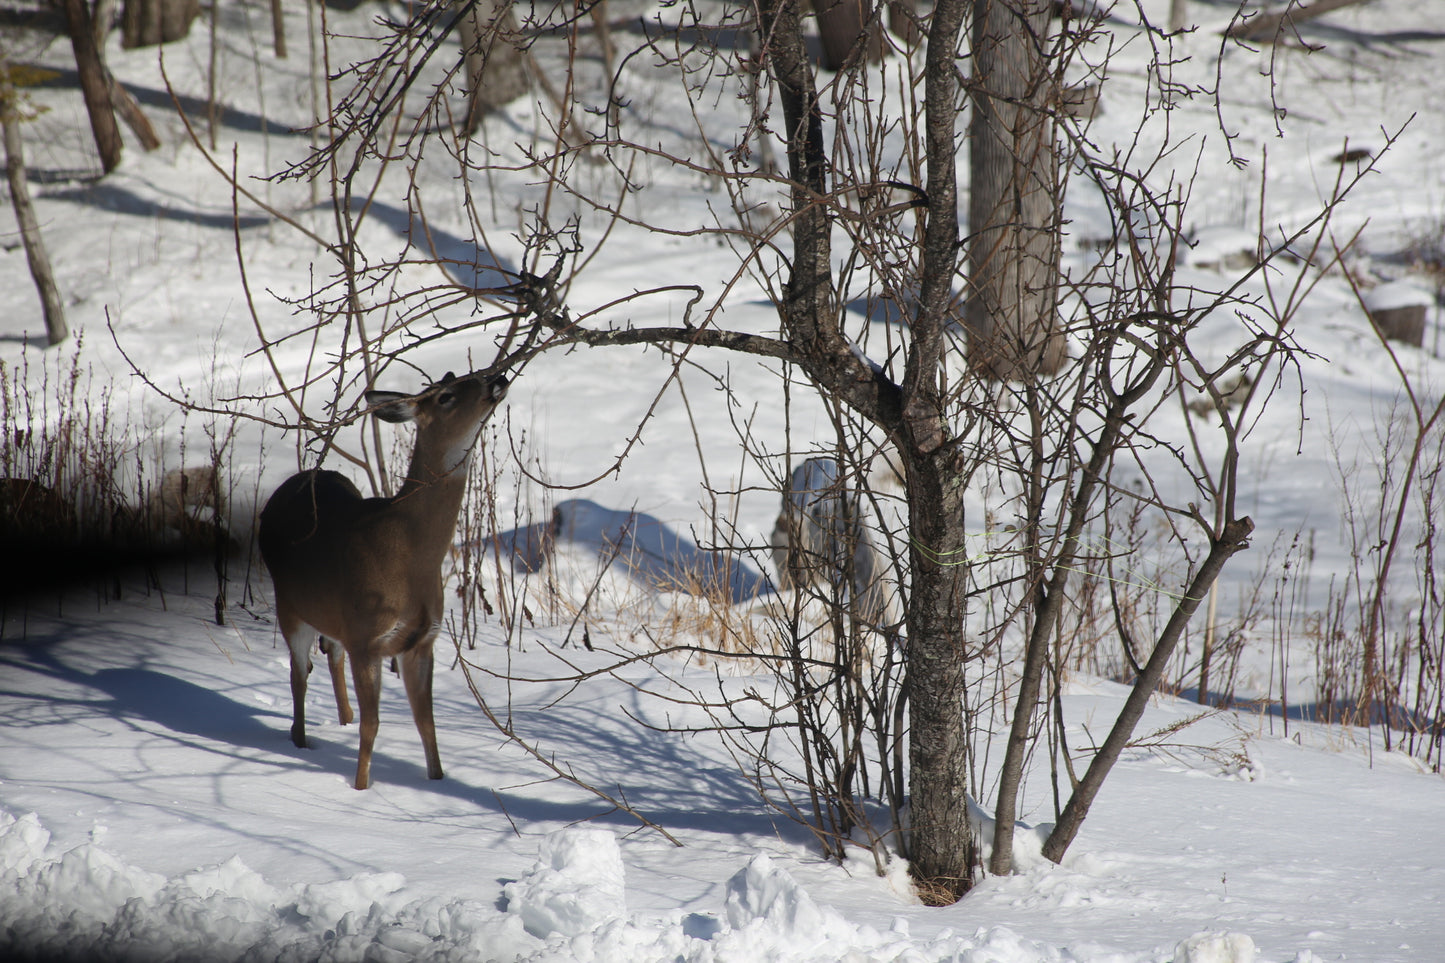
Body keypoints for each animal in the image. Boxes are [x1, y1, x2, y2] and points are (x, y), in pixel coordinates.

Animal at [258, 370, 509, 790]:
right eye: (446, 396)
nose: (499, 378)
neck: (411, 557)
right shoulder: (368, 637)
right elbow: (373, 725)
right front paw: (361, 788)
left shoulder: (421, 641)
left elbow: (426, 723)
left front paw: (437, 780)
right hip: (290, 605)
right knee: (298, 674)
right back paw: (301, 740)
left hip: (333, 618)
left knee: (331, 656)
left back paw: (340, 720)